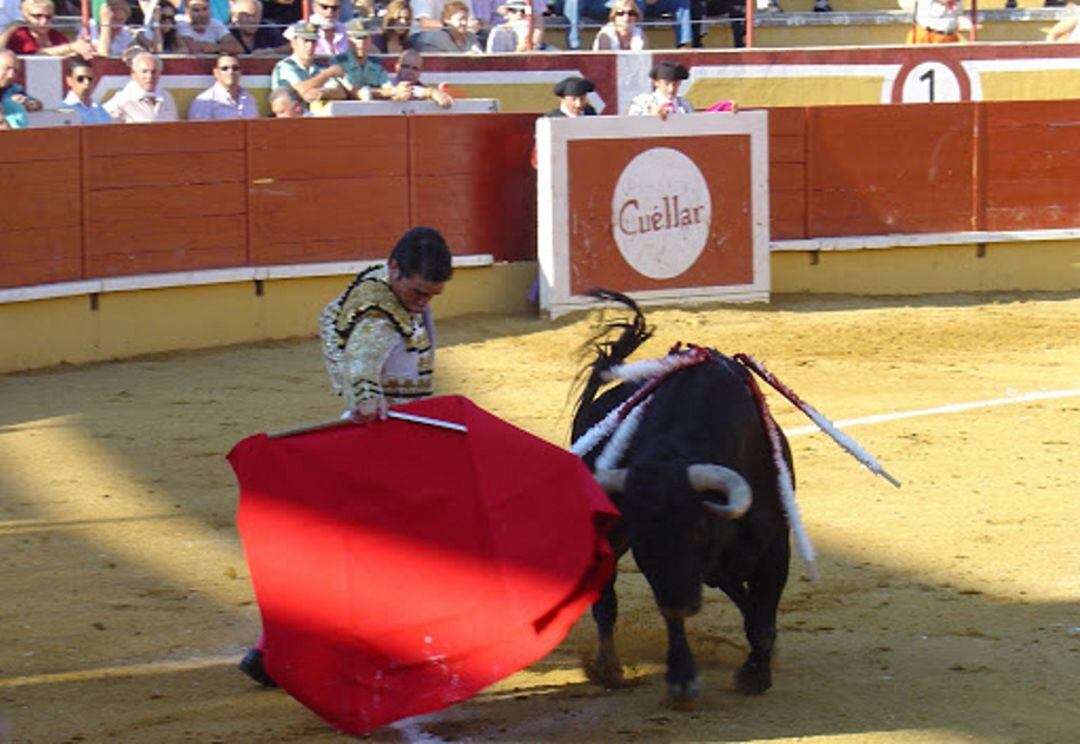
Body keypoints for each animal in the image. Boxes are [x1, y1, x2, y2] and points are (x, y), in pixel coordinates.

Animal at [574, 293, 794, 699]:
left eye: (698, 531)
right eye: (644, 539)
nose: (680, 603)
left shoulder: (773, 547)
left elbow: (760, 614)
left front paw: (756, 673)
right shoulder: (673, 568)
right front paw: (683, 676)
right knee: (606, 602)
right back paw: (609, 667)